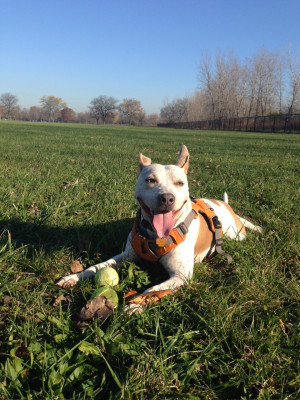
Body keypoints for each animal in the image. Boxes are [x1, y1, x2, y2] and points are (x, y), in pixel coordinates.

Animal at [55, 145, 260, 304]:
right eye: (150, 180)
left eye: (180, 183)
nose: (167, 198)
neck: (155, 234)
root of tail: (223, 204)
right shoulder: (127, 255)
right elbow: (98, 266)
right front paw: (74, 277)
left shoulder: (181, 275)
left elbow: (152, 290)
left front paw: (135, 305)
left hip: (236, 234)